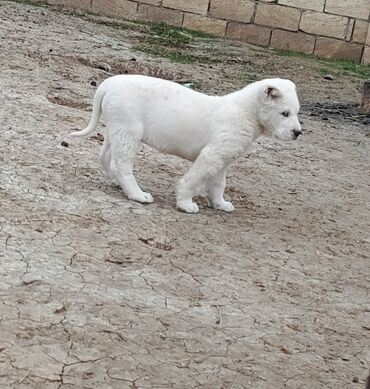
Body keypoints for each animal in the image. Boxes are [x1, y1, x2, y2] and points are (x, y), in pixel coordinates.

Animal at [71, 74, 300, 214]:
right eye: (285, 113)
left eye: (296, 112)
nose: (298, 133)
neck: (246, 112)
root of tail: (108, 84)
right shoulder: (211, 156)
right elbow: (193, 180)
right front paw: (185, 204)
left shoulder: (222, 160)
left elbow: (218, 184)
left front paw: (219, 204)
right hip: (129, 131)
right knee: (122, 165)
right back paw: (137, 194)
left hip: (116, 131)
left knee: (106, 158)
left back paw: (117, 183)